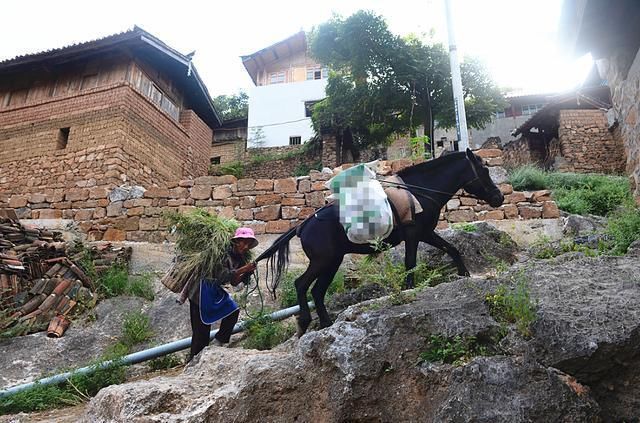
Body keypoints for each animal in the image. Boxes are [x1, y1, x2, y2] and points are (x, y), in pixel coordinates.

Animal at [258, 149, 502, 338]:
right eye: (485, 171)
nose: (499, 198)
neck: (419, 191)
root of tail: (303, 225)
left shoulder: (426, 233)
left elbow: (452, 248)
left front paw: (464, 274)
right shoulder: (414, 235)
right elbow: (410, 264)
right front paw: (409, 292)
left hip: (332, 262)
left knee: (317, 291)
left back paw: (326, 324)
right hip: (323, 261)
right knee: (301, 284)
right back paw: (305, 321)